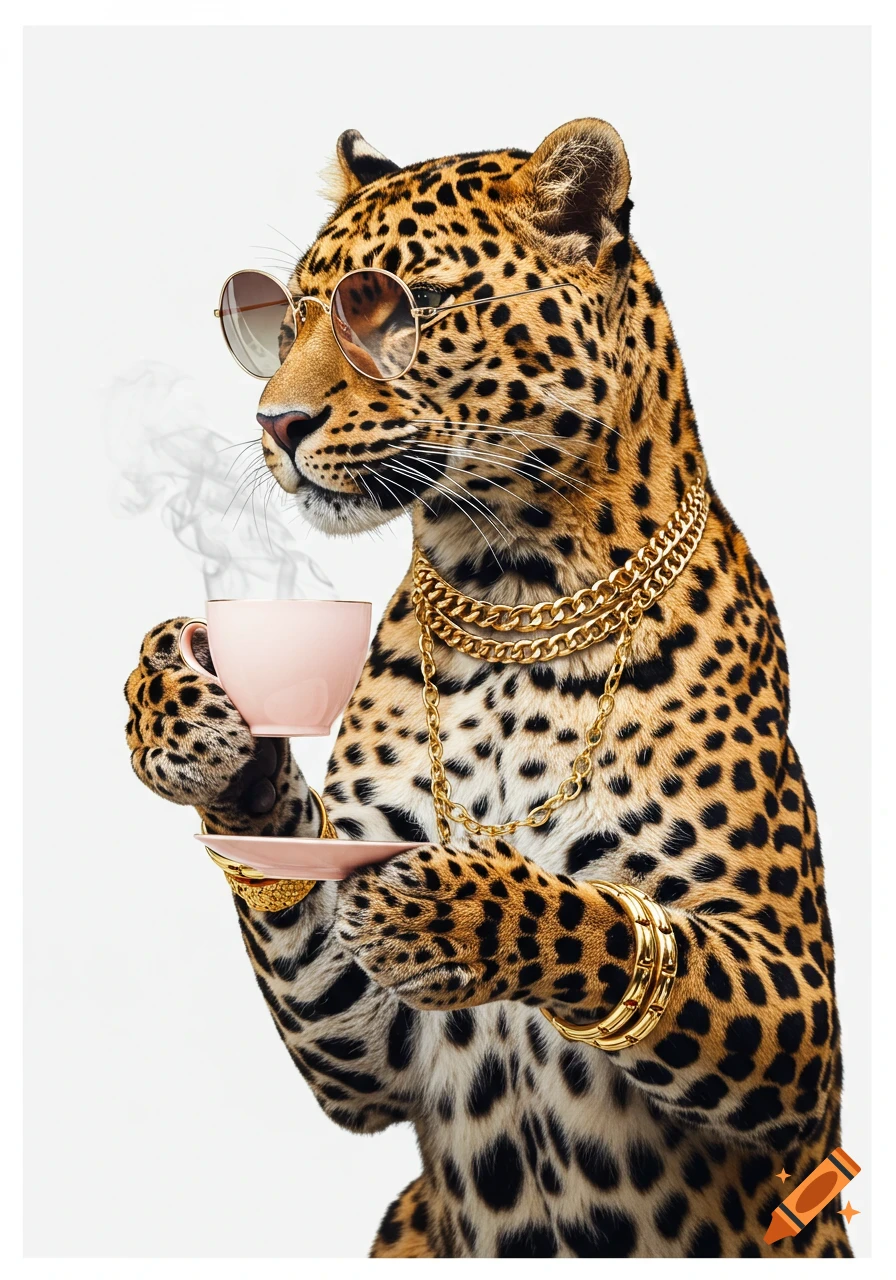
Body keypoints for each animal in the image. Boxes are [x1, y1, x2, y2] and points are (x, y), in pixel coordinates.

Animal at [124, 119, 853, 1259]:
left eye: (399, 304)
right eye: (285, 321)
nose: (276, 423)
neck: (510, 582)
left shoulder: (797, 1016)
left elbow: (602, 921)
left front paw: (462, 905)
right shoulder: (371, 1049)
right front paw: (192, 719)